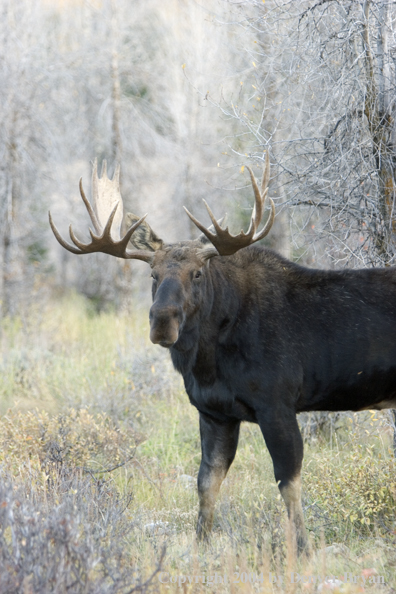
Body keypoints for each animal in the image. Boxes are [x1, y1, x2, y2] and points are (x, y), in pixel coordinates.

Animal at [48, 156, 396, 552]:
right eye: (152, 274)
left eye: (198, 273)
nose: (162, 322)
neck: (208, 363)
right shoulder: (214, 412)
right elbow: (206, 482)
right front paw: (201, 543)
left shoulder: (277, 404)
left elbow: (287, 481)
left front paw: (304, 549)